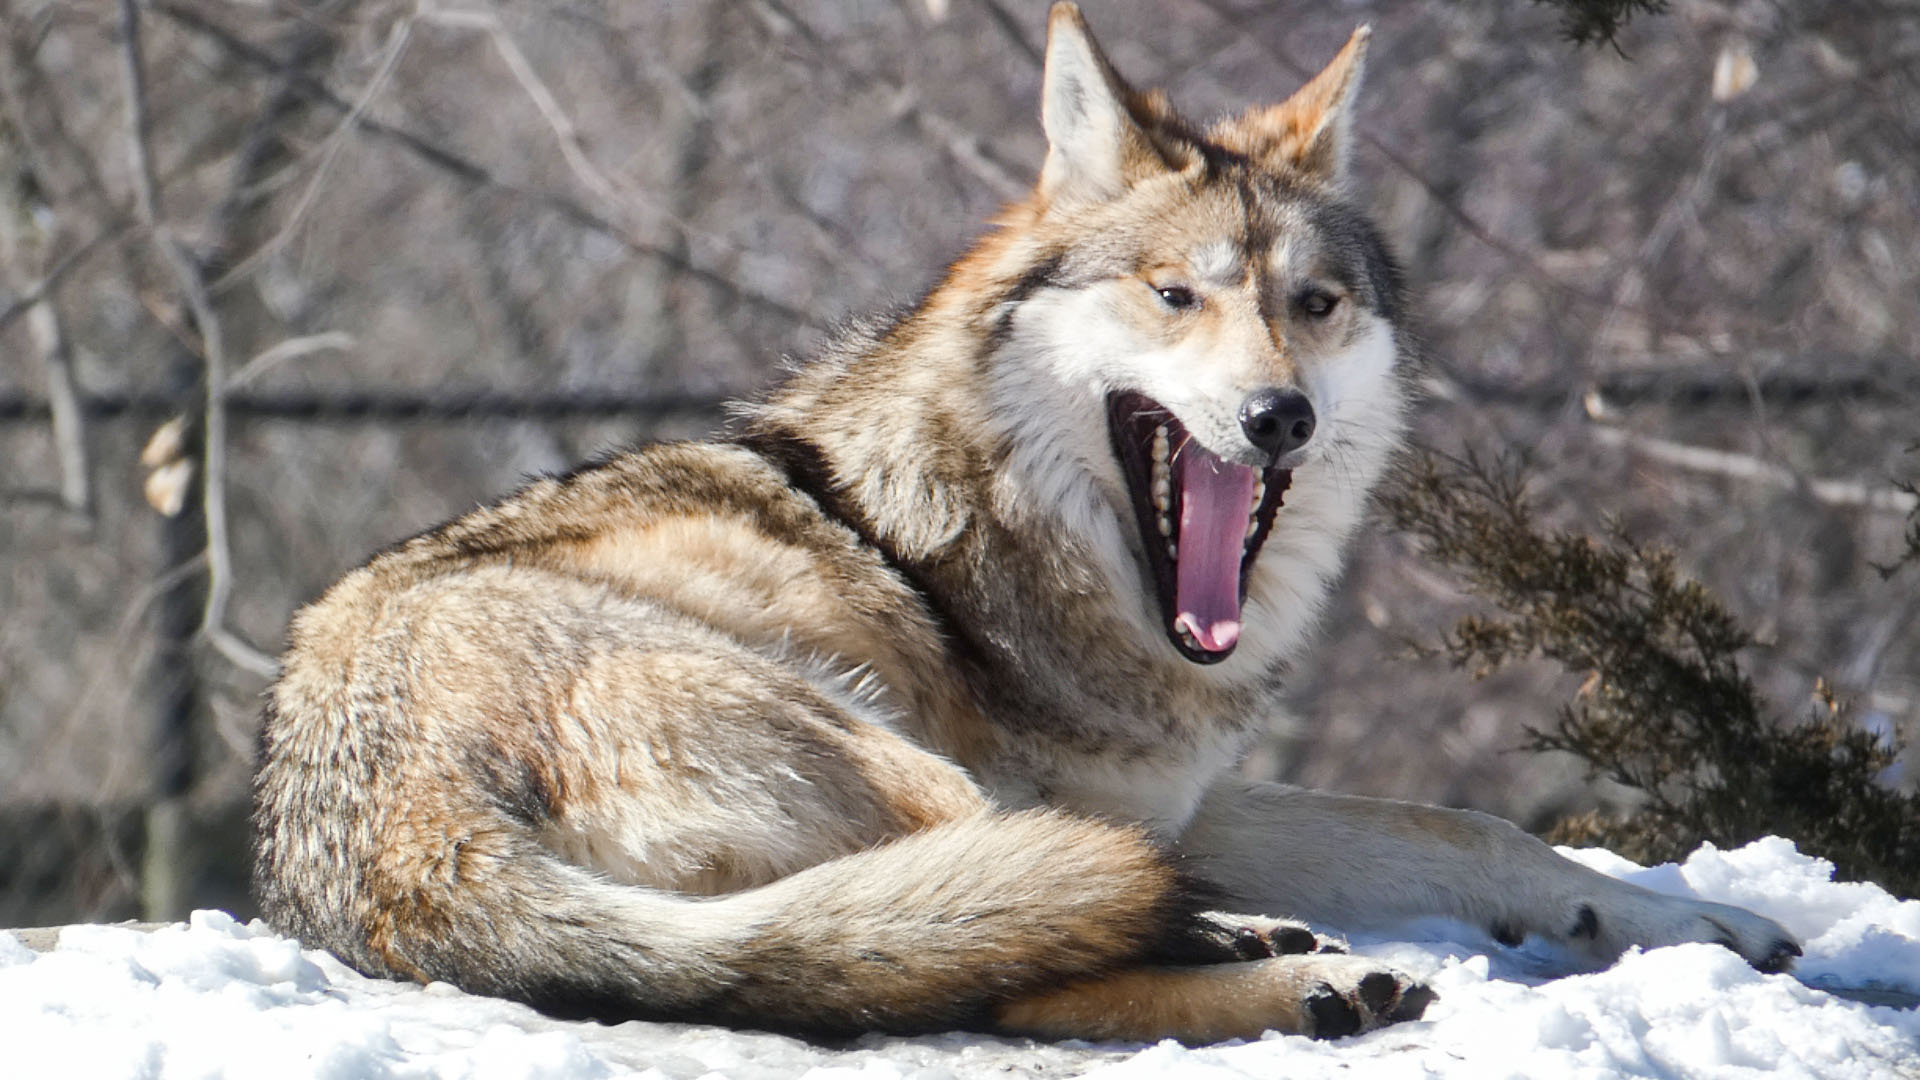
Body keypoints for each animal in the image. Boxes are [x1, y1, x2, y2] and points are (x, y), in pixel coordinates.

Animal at [253, 4, 1799, 1044]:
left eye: (1313, 304)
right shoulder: (1089, 790)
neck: (978, 529)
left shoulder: (1178, 794)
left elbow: (1468, 828)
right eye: (1175, 296)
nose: (1279, 418)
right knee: (993, 963)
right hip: (874, 737)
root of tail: (399, 851)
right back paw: (1302, 969)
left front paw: (1694, 919)